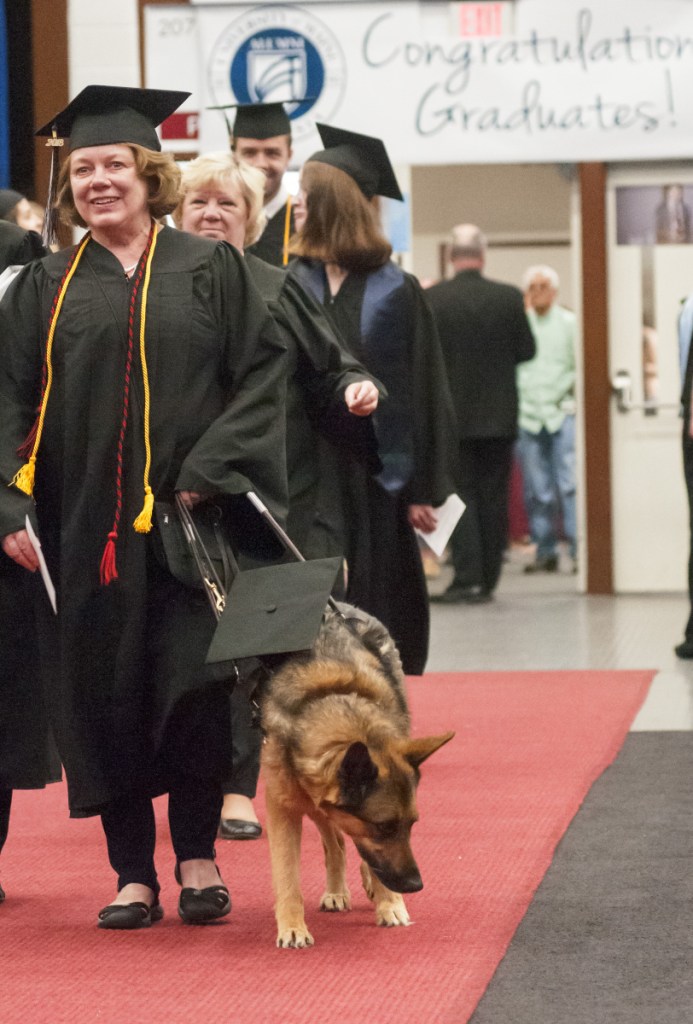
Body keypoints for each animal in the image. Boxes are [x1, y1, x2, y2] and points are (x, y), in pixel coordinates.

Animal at [260, 602, 454, 946]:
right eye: (385, 825)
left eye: (412, 824)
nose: (416, 885)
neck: (331, 701)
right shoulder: (284, 807)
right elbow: (287, 875)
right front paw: (293, 926)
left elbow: (370, 860)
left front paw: (389, 903)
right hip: (314, 804)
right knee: (335, 842)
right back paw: (338, 890)